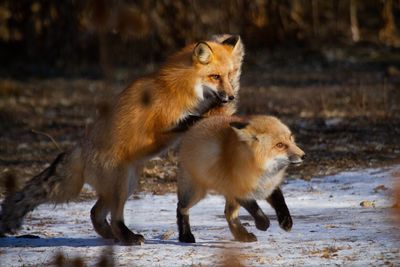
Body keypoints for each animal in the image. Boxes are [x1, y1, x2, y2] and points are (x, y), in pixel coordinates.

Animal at [0, 34, 245, 246]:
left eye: (230, 75)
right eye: (215, 77)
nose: (231, 96)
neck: (179, 87)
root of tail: (80, 147)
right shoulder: (162, 125)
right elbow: (196, 118)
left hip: (127, 183)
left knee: (95, 213)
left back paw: (111, 236)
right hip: (120, 184)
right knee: (113, 216)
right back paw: (128, 238)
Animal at [177, 114, 304, 244]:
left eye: (290, 139)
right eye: (280, 145)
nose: (303, 155)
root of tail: (199, 122)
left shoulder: (269, 185)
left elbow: (281, 202)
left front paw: (286, 221)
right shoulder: (237, 190)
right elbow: (257, 211)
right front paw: (262, 225)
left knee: (228, 214)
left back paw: (242, 236)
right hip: (195, 193)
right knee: (181, 208)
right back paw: (185, 236)